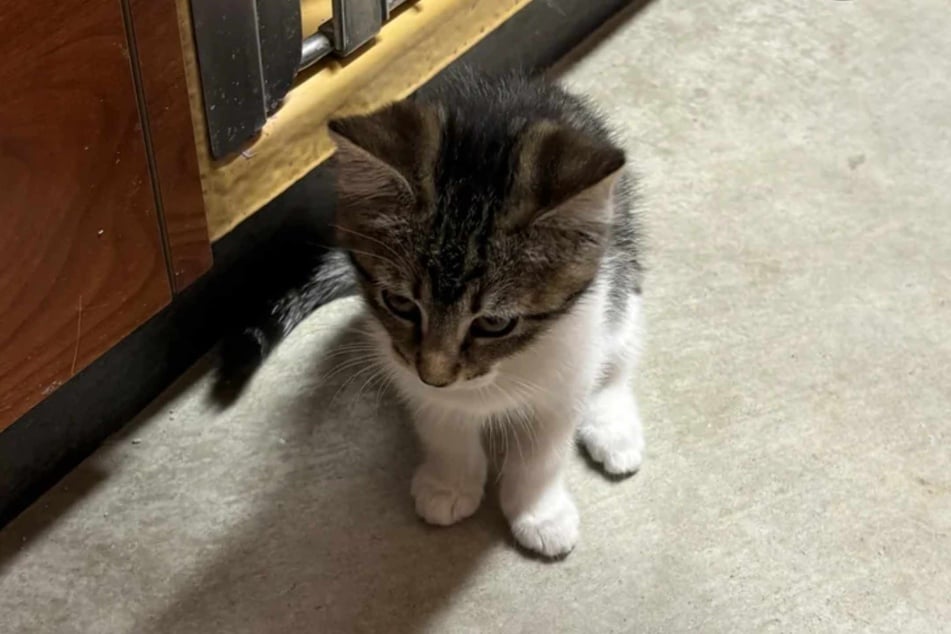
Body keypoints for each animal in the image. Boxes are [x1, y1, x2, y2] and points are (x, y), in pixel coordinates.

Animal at [328, 71, 648, 556]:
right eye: (399, 303)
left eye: (495, 323)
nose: (434, 375)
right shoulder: (410, 374)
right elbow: (444, 430)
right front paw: (449, 484)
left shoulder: (568, 366)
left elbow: (542, 452)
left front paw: (539, 512)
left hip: (621, 283)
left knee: (618, 356)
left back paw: (614, 427)